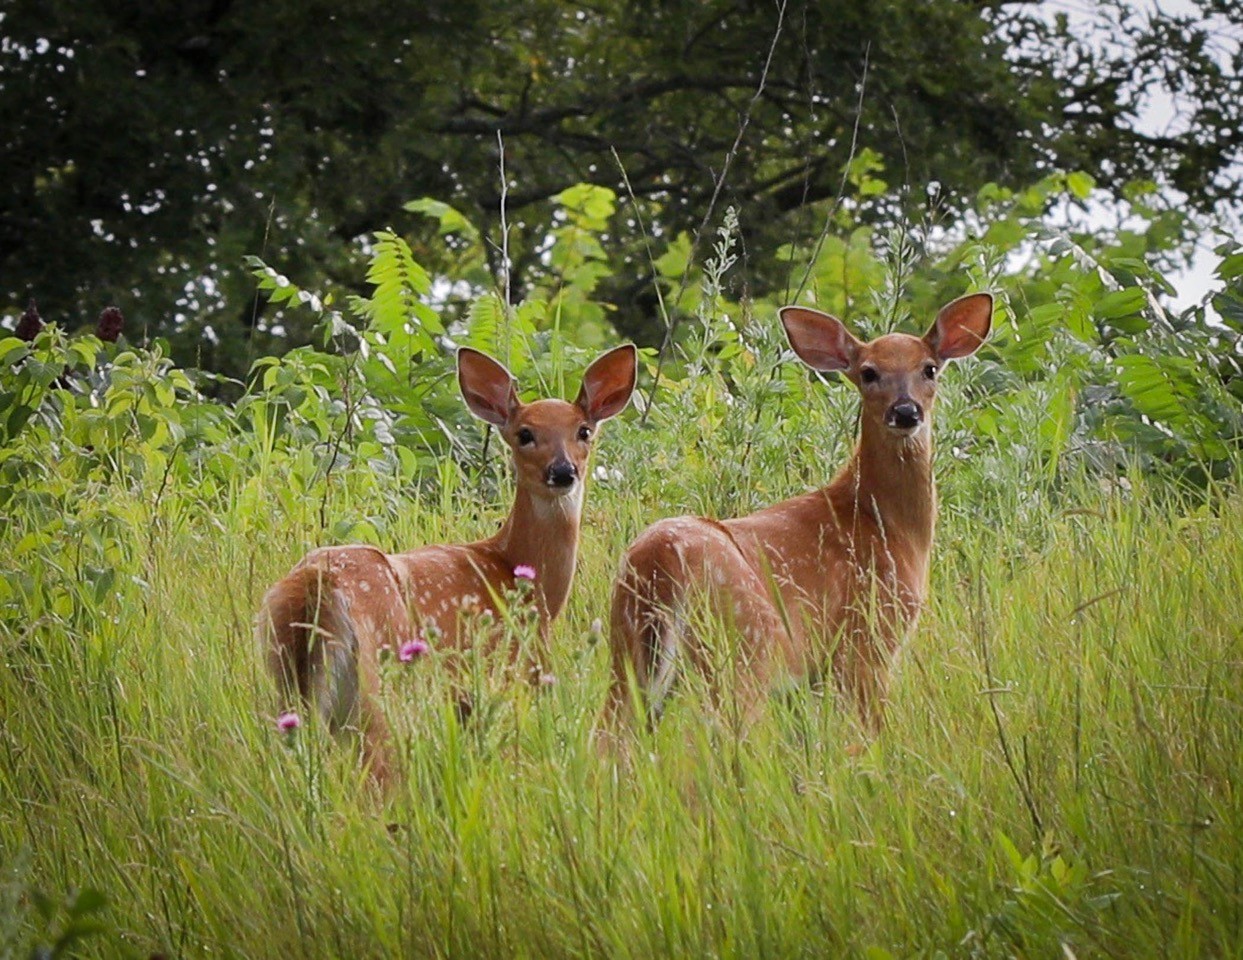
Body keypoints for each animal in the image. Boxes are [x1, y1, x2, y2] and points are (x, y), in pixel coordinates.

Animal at [258, 343, 637, 784]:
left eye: (584, 431)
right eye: (525, 434)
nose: (562, 471)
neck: (518, 570)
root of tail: (317, 585)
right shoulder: (510, 671)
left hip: (286, 674)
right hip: (381, 672)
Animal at [604, 293, 992, 740]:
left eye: (929, 368)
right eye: (868, 372)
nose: (906, 411)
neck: (887, 525)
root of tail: (662, 560)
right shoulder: (866, 637)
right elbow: (871, 731)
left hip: (628, 650)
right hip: (745, 646)